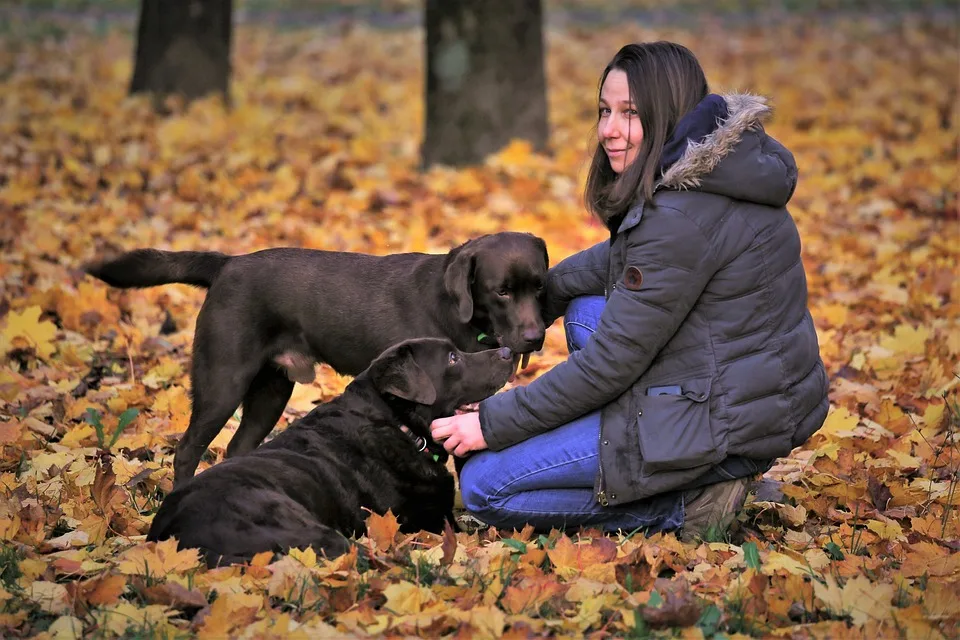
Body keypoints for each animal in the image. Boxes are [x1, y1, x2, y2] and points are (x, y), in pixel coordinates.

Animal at [86, 231, 552, 484]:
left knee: (237, 447)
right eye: (501, 291)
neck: (457, 312)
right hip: (223, 381)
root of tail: (227, 263)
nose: (533, 338)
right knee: (186, 451)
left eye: (539, 286)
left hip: (271, 390)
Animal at [147, 338, 516, 568]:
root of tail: (174, 537)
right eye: (453, 358)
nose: (508, 351)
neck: (398, 425)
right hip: (311, 531)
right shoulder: (429, 521)